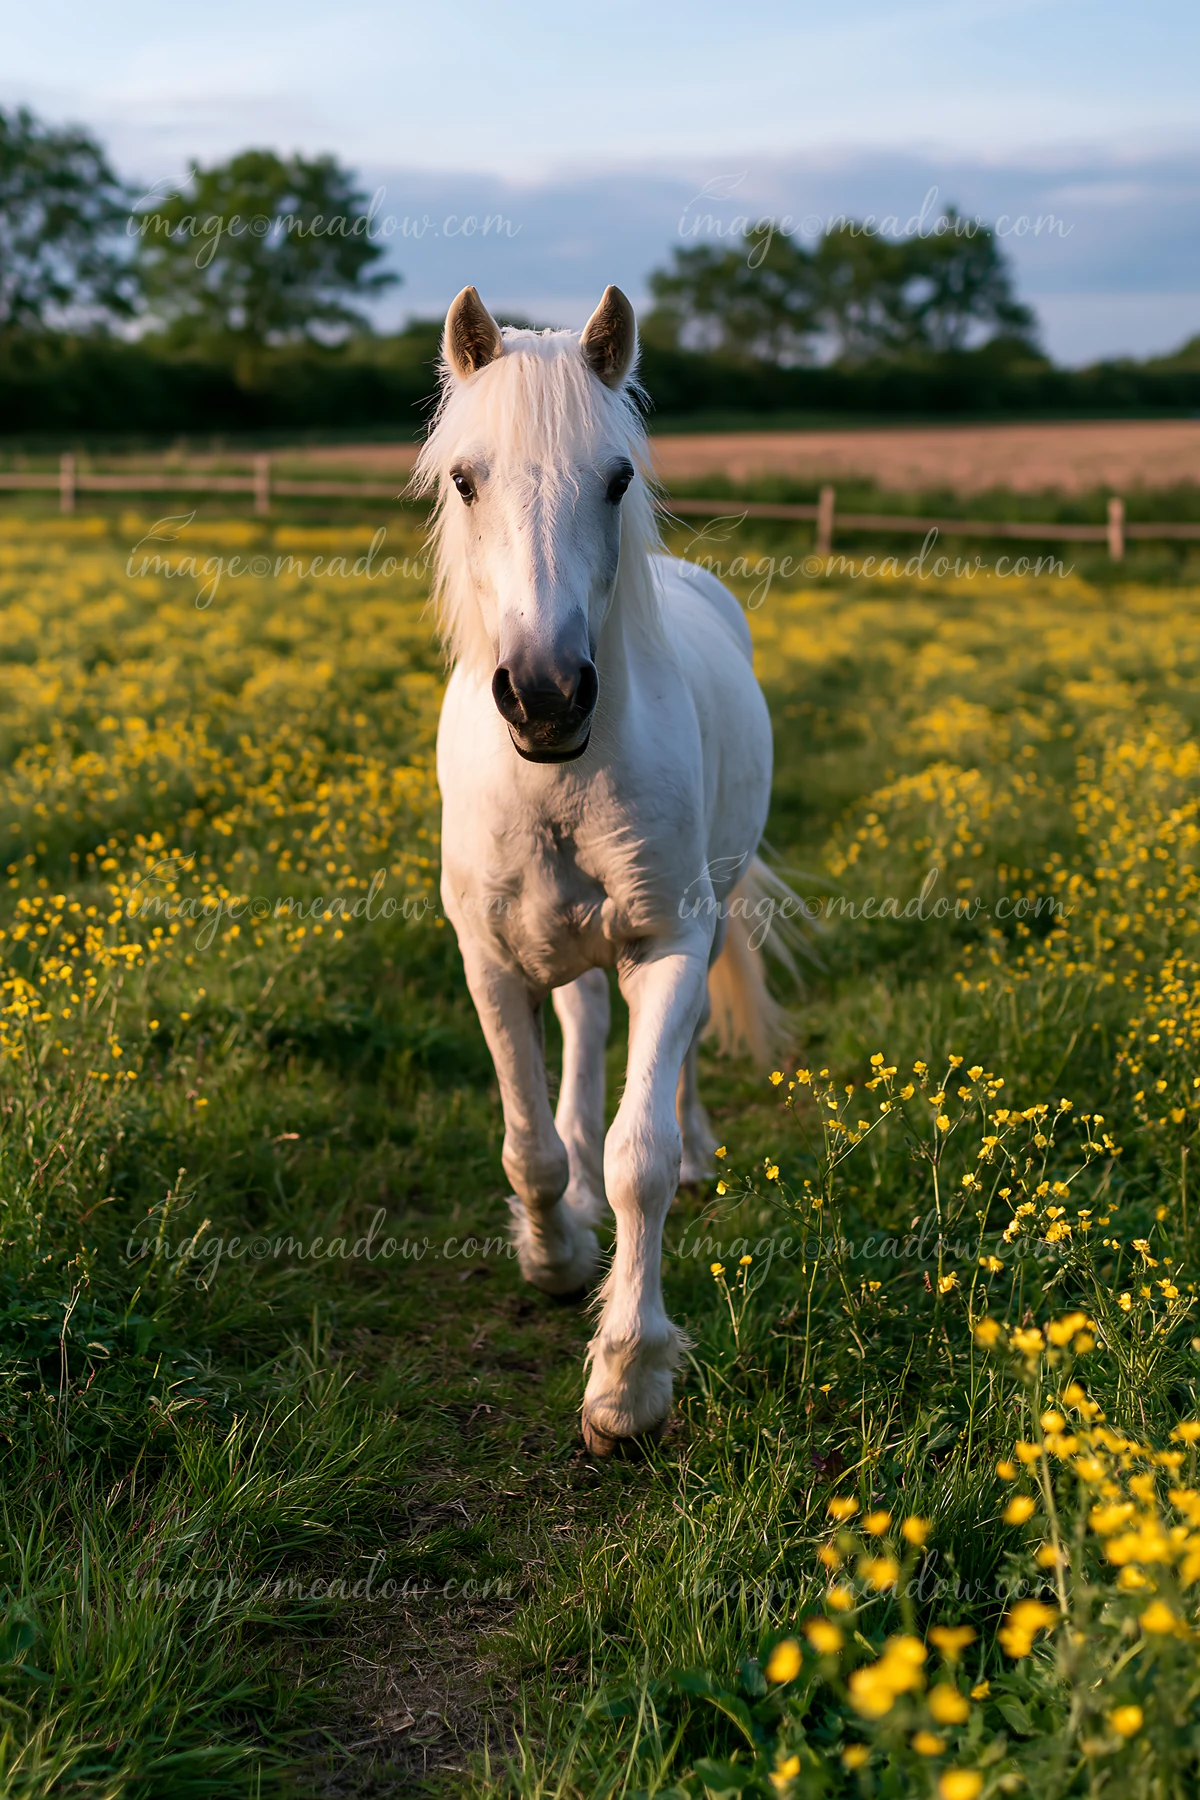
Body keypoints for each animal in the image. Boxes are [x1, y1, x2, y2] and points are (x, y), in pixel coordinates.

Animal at [416, 284, 790, 1455]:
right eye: (465, 477)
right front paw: (555, 1254)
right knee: (581, 1047)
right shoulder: (487, 957)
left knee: (671, 1074)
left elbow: (642, 1158)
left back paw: (698, 1147)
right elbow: (530, 1142)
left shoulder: (668, 944)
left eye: (617, 477)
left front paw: (628, 1382)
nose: (546, 697)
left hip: (696, 928)